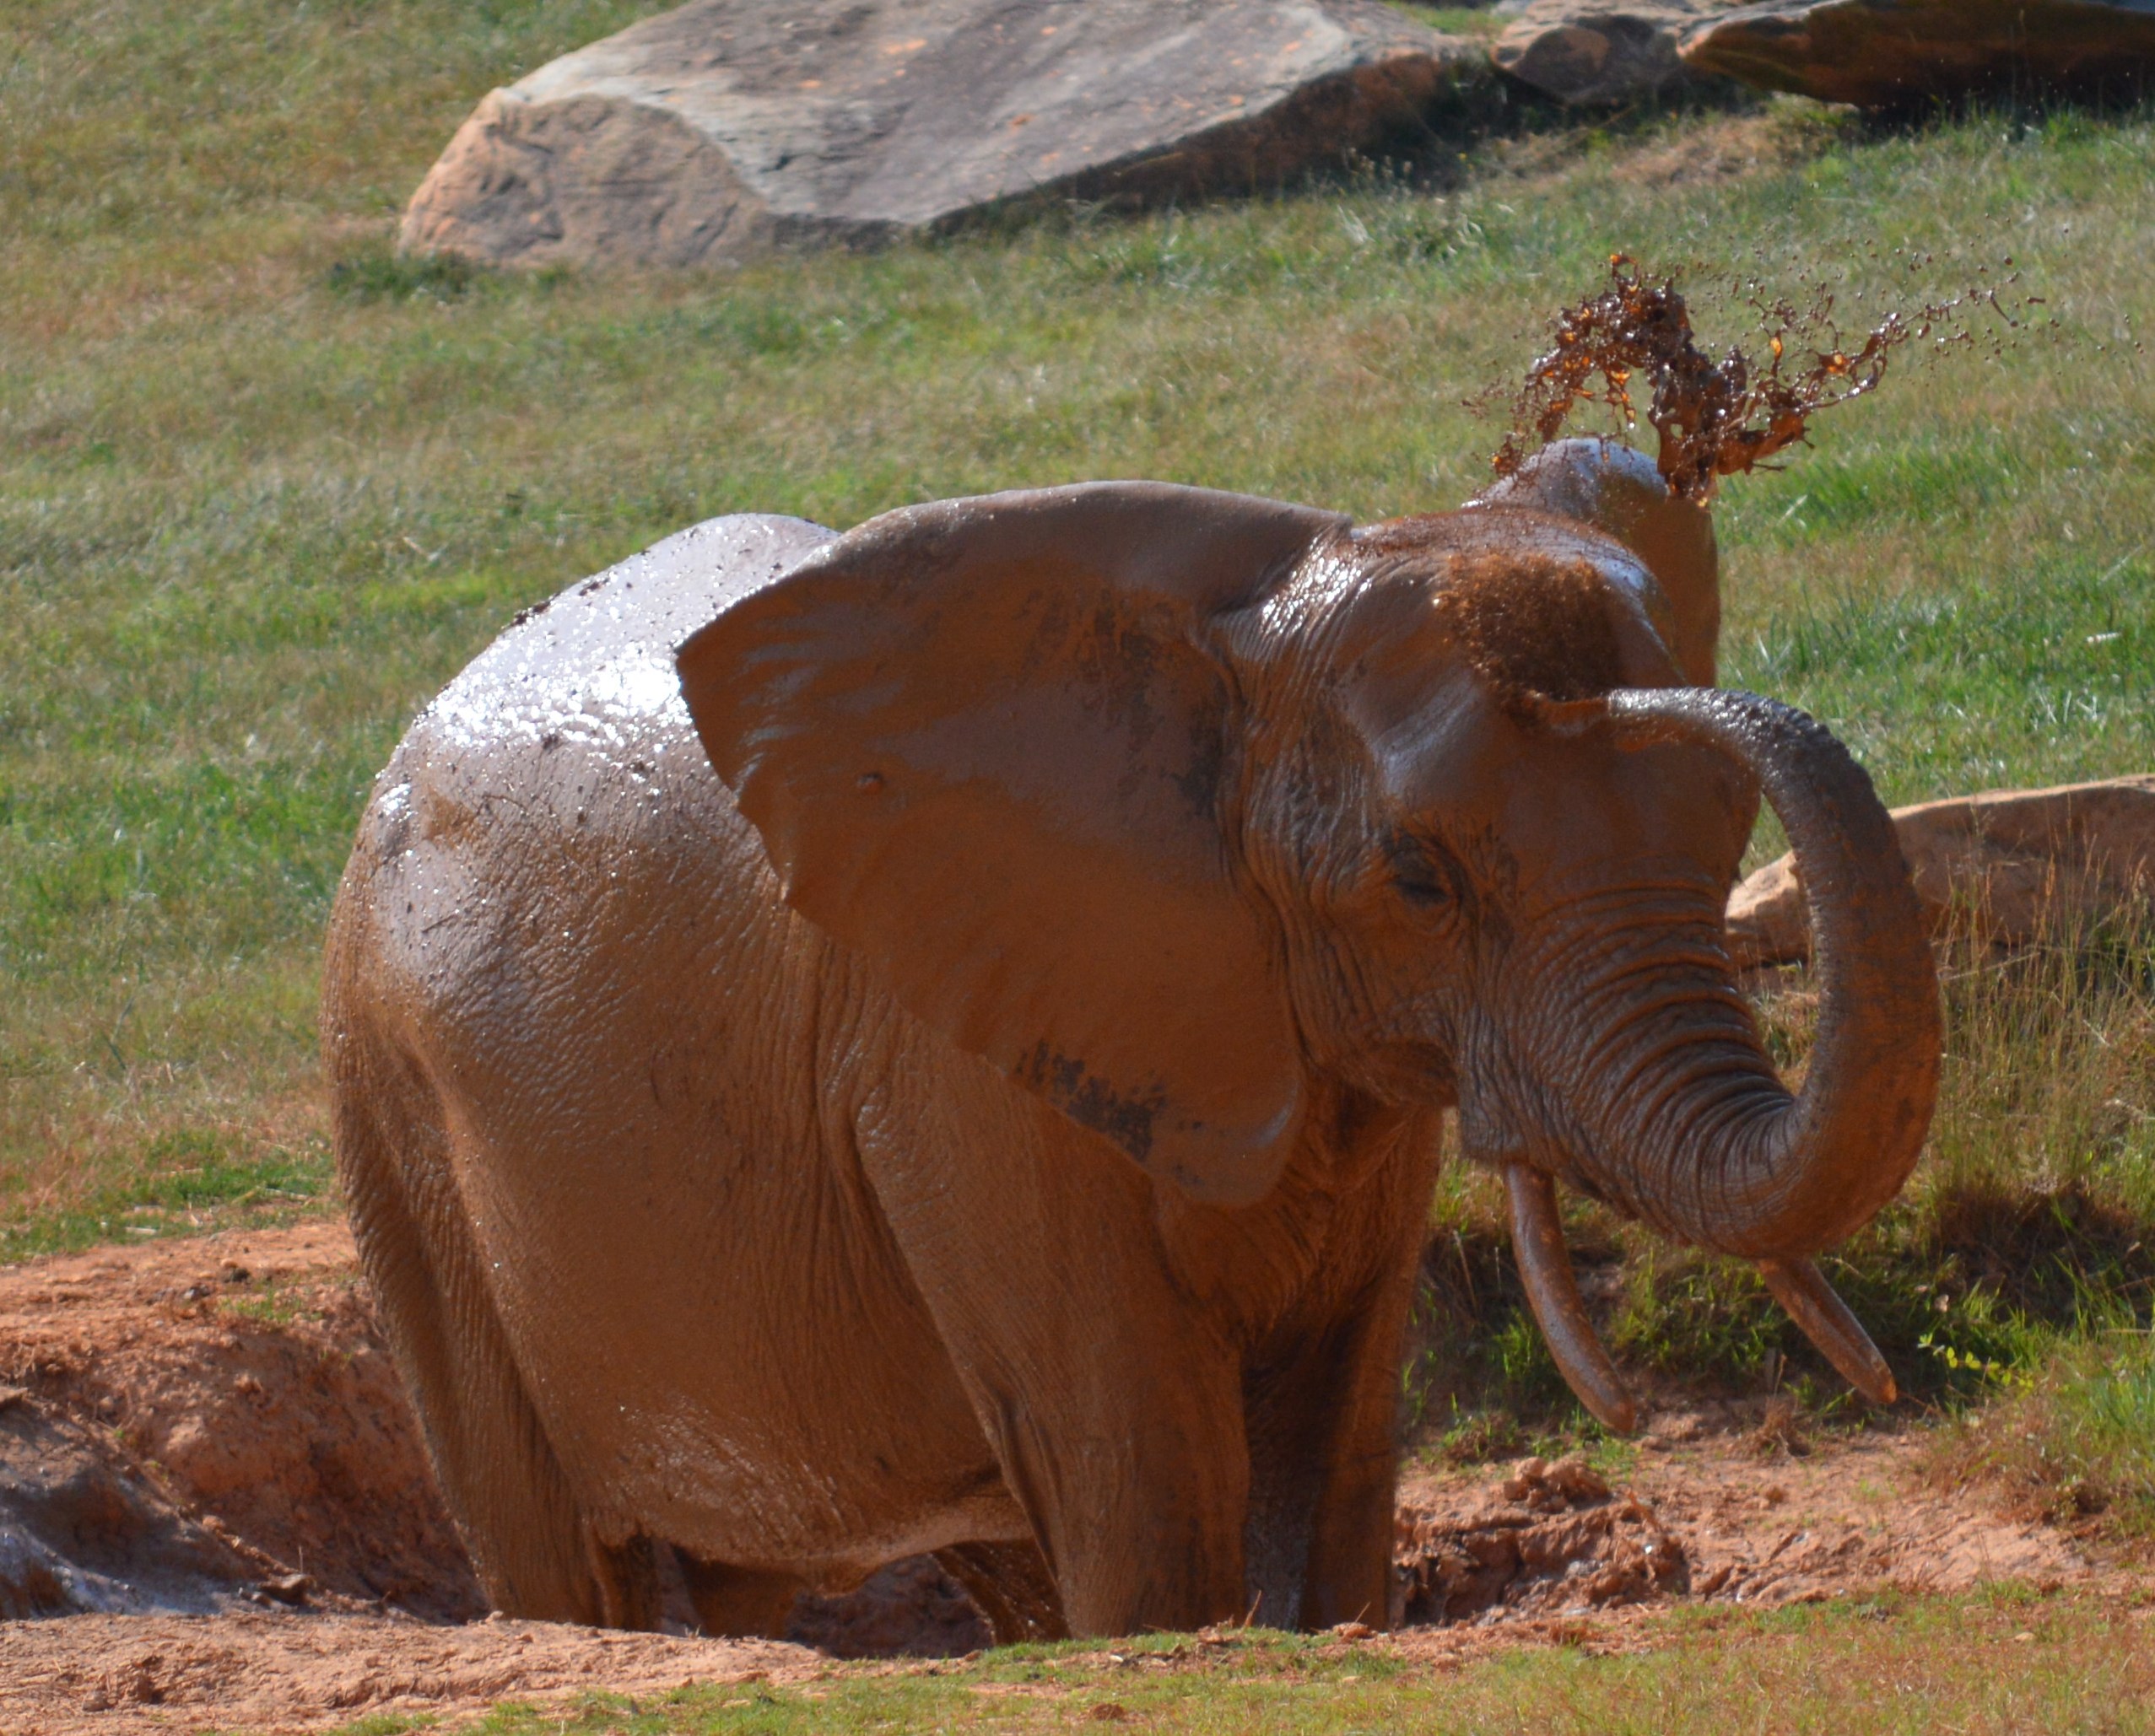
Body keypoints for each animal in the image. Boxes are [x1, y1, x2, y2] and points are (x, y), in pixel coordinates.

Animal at [327, 434, 1947, 1645]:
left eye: (1718, 833)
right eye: (1418, 880)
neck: (1233, 646)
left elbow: (1329, 1444)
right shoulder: (959, 1066)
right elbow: (1143, 1476)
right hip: (392, 1108)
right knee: (567, 1564)